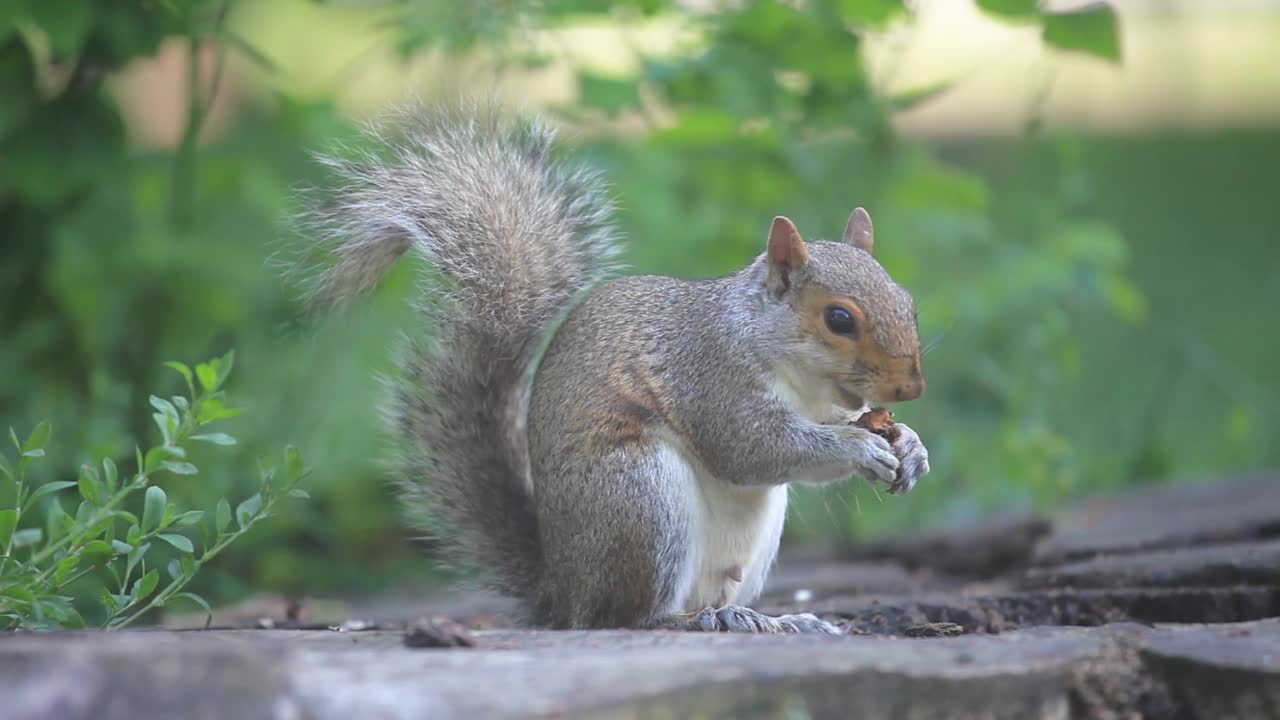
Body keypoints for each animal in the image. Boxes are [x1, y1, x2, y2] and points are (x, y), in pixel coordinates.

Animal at [304, 101, 936, 632]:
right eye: (839, 319)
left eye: (908, 301)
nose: (911, 386)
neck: (796, 372)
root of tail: (562, 592)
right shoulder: (710, 374)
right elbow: (751, 447)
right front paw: (858, 448)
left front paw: (909, 445)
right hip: (639, 500)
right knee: (627, 617)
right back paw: (697, 620)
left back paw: (774, 618)